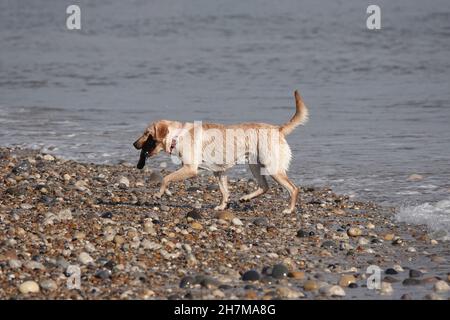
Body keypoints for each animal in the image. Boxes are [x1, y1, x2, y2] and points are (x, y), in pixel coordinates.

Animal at [133, 90, 310, 212]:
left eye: (146, 133)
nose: (134, 144)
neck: (177, 135)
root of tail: (278, 129)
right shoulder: (219, 172)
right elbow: (224, 192)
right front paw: (222, 206)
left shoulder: (190, 169)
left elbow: (166, 178)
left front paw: (159, 194)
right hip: (255, 165)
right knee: (264, 186)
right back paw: (245, 198)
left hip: (272, 168)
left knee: (293, 189)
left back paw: (289, 209)